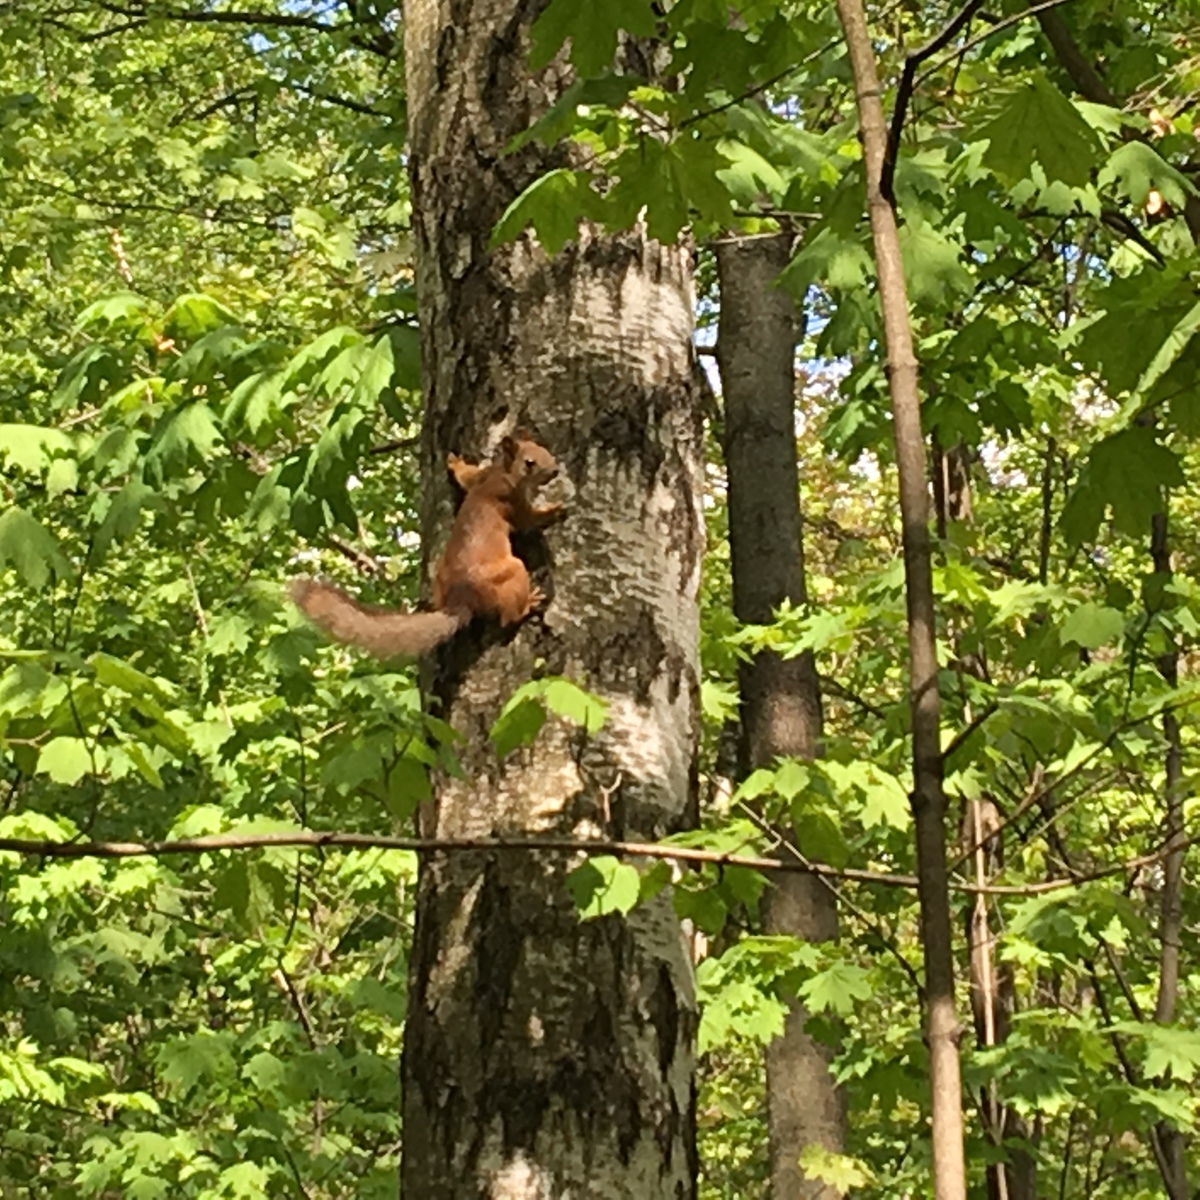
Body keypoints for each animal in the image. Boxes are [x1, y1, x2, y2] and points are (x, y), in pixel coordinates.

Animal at [291, 432, 564, 658]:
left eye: (544, 448)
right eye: (529, 462)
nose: (555, 471)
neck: (502, 474)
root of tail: (460, 601)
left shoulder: (479, 477)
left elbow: (465, 477)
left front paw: (454, 462)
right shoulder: (511, 501)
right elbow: (528, 519)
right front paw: (556, 509)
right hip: (509, 573)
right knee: (508, 618)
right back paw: (528, 604)